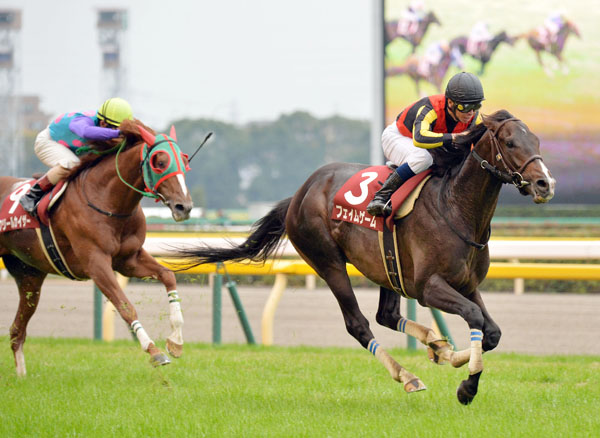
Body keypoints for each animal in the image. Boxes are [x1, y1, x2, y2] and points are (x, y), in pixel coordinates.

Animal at [0, 119, 193, 376]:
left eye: (184, 160)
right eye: (159, 162)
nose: (184, 207)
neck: (106, 199)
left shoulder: (129, 260)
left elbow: (168, 275)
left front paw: (176, 341)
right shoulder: (96, 262)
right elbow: (125, 306)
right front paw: (154, 352)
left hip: (29, 276)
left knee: (17, 331)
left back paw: (22, 376)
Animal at [177, 110, 555, 404]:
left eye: (537, 141)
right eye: (510, 143)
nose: (545, 184)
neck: (455, 206)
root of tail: (300, 193)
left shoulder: (467, 284)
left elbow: (491, 332)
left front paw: (452, 360)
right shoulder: (429, 286)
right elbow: (476, 320)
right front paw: (466, 387)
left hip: (387, 267)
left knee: (386, 314)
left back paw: (436, 345)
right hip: (328, 262)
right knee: (358, 323)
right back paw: (408, 375)